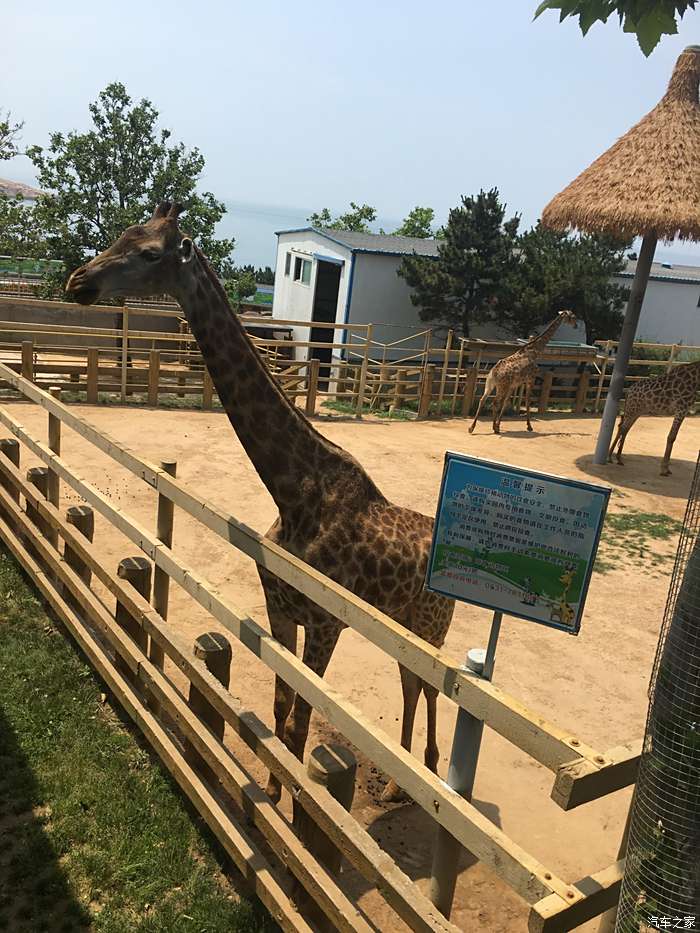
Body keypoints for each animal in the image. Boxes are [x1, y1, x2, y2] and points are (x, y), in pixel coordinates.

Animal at [68, 204, 456, 800]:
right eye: (120, 236)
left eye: (150, 252)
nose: (77, 281)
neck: (296, 493)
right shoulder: (280, 609)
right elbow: (278, 709)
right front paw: (273, 796)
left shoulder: (325, 625)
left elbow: (298, 724)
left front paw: (292, 808)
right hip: (402, 630)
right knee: (410, 686)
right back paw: (396, 786)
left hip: (430, 630)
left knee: (430, 690)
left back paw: (423, 776)